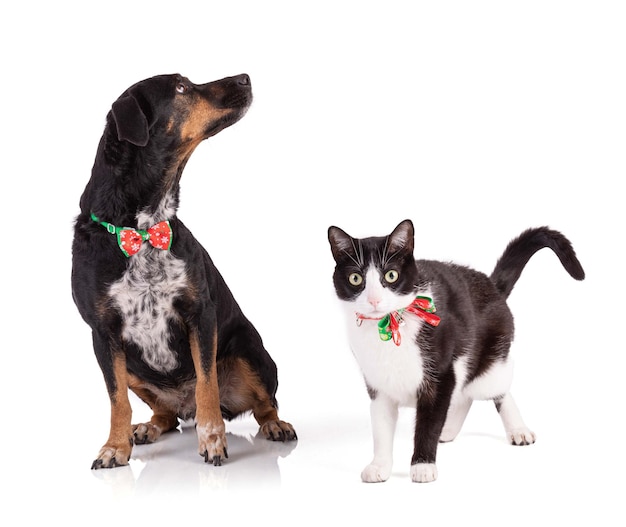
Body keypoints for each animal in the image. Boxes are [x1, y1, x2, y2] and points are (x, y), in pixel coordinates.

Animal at [72, 73, 296, 470]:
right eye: (181, 88)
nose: (245, 77)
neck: (142, 228)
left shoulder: (200, 316)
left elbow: (207, 386)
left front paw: (213, 441)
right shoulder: (103, 333)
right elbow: (117, 400)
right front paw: (115, 446)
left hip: (250, 352)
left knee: (264, 404)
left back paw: (276, 425)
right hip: (135, 370)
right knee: (165, 414)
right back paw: (148, 428)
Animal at [330, 221, 584, 484]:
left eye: (391, 275)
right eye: (356, 278)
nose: (374, 300)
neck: (389, 326)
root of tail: (492, 285)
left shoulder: (440, 375)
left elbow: (429, 422)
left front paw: (423, 466)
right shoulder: (378, 386)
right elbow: (381, 428)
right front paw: (379, 465)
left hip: (490, 361)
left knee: (497, 388)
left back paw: (518, 429)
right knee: (464, 393)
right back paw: (448, 430)